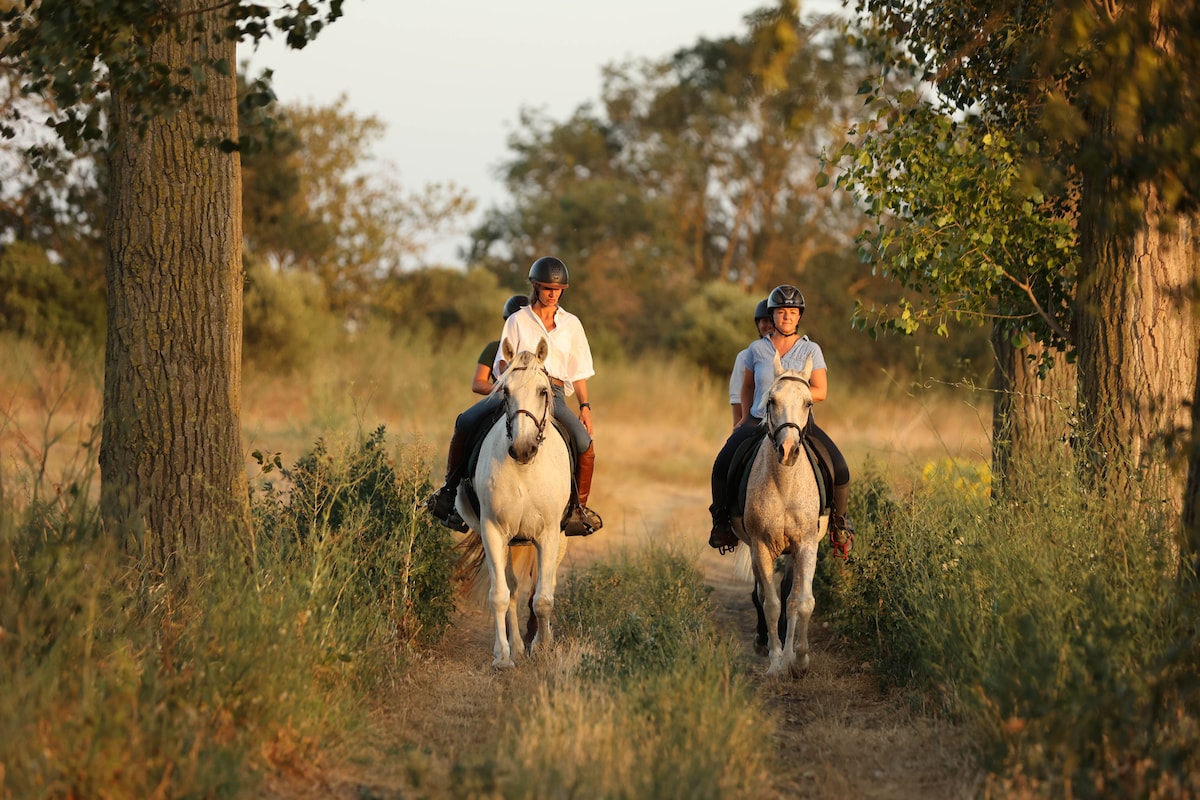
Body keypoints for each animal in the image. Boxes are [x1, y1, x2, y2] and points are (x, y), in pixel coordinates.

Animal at [455, 338, 572, 669]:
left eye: (544, 391)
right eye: (505, 392)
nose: (522, 448)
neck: (525, 469)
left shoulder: (548, 534)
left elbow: (543, 598)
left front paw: (543, 648)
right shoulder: (493, 531)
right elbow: (501, 595)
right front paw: (503, 656)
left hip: (556, 539)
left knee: (541, 587)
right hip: (512, 542)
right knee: (514, 589)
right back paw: (518, 645)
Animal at [731, 353, 828, 678]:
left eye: (808, 403)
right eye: (771, 400)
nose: (788, 450)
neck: (785, 483)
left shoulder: (806, 545)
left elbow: (802, 601)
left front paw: (798, 659)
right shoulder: (760, 546)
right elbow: (771, 603)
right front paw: (775, 661)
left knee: (790, 594)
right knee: (762, 594)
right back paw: (764, 642)